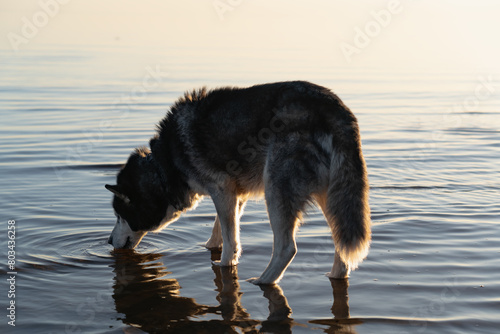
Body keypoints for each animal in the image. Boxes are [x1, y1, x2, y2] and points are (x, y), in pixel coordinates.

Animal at [106, 81, 372, 284]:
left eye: (119, 216)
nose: (108, 242)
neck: (164, 165)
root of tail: (335, 109)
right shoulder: (235, 195)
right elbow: (220, 230)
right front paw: (209, 247)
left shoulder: (222, 190)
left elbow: (230, 238)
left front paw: (225, 264)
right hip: (333, 199)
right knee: (340, 243)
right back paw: (335, 275)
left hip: (275, 193)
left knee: (287, 247)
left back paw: (263, 280)